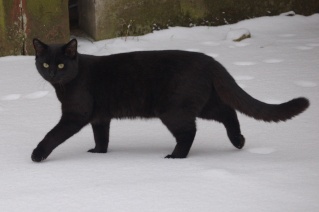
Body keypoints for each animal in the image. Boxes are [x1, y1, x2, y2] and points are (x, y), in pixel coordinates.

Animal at [31, 38, 308, 162]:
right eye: (45, 64)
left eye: (61, 64)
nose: (52, 73)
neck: (67, 83)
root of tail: (210, 60)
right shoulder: (100, 117)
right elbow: (102, 136)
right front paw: (99, 154)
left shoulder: (75, 114)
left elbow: (53, 135)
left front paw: (37, 155)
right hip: (202, 104)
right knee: (228, 112)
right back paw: (238, 141)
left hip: (173, 109)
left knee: (189, 132)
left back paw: (176, 157)